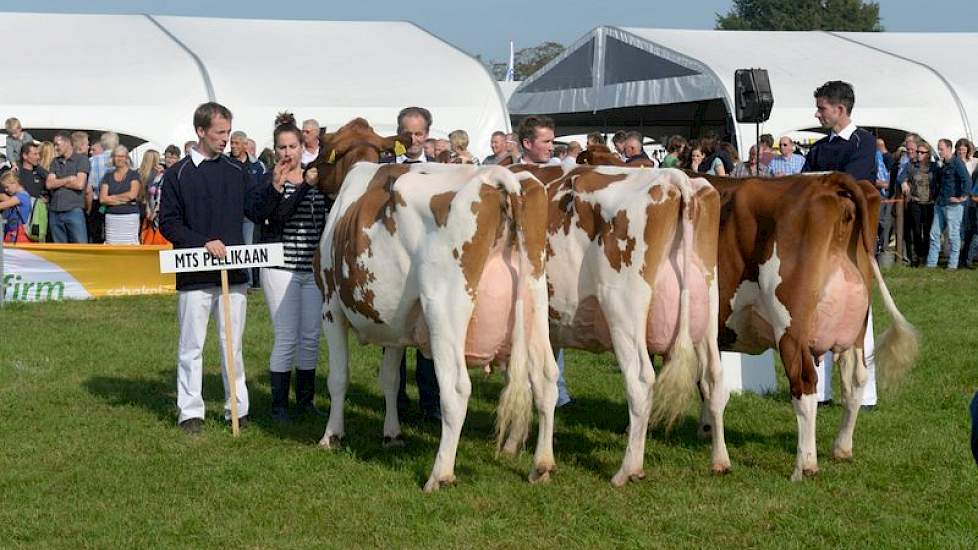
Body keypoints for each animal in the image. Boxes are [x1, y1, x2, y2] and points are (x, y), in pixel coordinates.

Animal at [308, 119, 560, 492]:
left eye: (323, 149)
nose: (307, 171)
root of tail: (499, 178)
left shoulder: (330, 308)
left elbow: (339, 377)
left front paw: (331, 436)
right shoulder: (394, 323)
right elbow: (389, 379)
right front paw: (392, 434)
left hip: (445, 309)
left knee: (456, 389)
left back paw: (440, 473)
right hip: (536, 300)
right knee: (545, 377)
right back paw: (541, 465)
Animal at [508, 162, 728, 486]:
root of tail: (672, 178)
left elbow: (523, 376)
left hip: (623, 311)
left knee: (640, 381)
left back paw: (628, 469)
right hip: (707, 314)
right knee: (714, 379)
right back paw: (720, 460)